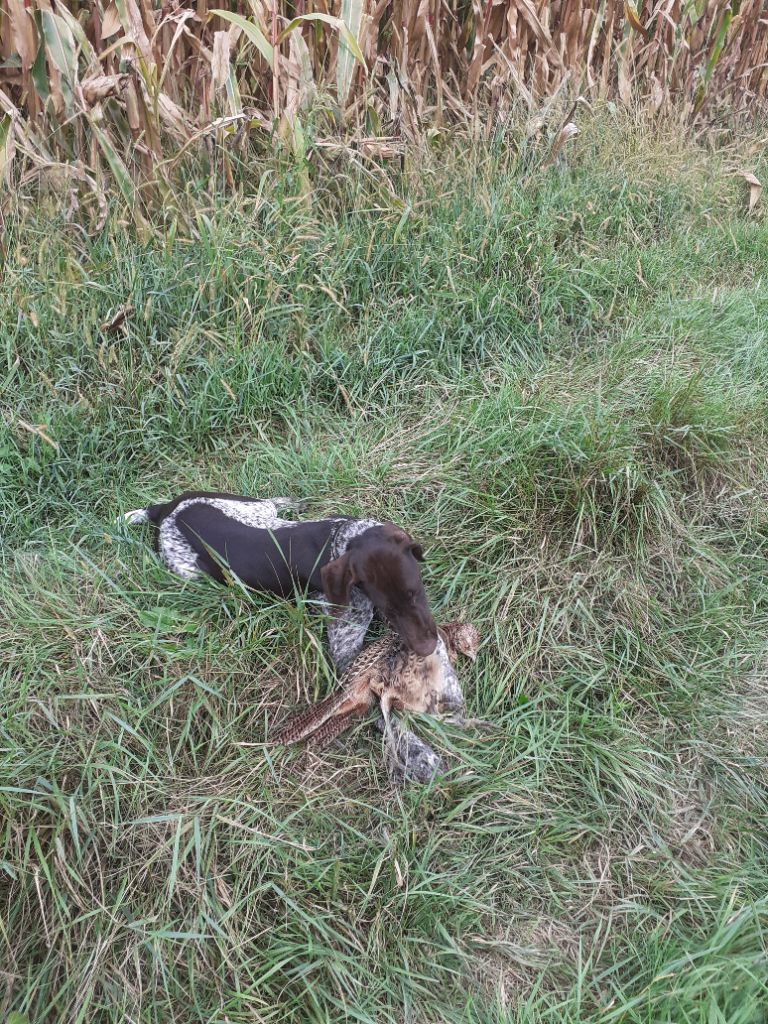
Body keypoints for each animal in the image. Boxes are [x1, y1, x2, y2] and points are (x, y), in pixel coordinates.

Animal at [125, 491, 438, 675]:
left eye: (416, 593)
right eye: (387, 609)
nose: (427, 649)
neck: (342, 538)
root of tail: (165, 511)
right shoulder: (344, 652)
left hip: (243, 504)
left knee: (270, 502)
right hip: (191, 573)